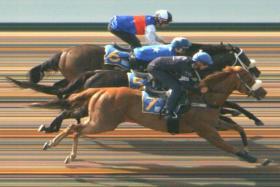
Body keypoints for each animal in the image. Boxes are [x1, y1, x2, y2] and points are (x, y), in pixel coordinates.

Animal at [36, 67, 270, 165]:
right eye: (249, 77)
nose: (264, 91)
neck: (205, 96)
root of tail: (100, 89)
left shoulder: (215, 123)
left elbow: (238, 128)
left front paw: (248, 146)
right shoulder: (206, 130)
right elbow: (227, 145)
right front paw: (253, 158)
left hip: (98, 119)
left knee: (76, 128)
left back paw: (66, 150)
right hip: (103, 122)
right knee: (74, 127)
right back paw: (52, 143)